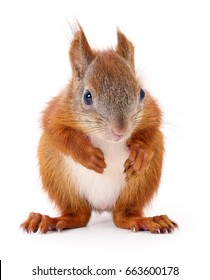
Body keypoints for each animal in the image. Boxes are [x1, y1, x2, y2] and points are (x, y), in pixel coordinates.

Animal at [20, 24, 177, 234]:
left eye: (142, 93)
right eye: (87, 96)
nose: (121, 130)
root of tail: (102, 205)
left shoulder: (151, 110)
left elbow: (153, 126)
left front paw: (140, 151)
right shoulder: (57, 110)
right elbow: (56, 130)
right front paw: (87, 154)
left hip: (140, 184)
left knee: (123, 215)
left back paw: (146, 220)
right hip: (56, 173)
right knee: (79, 214)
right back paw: (49, 220)